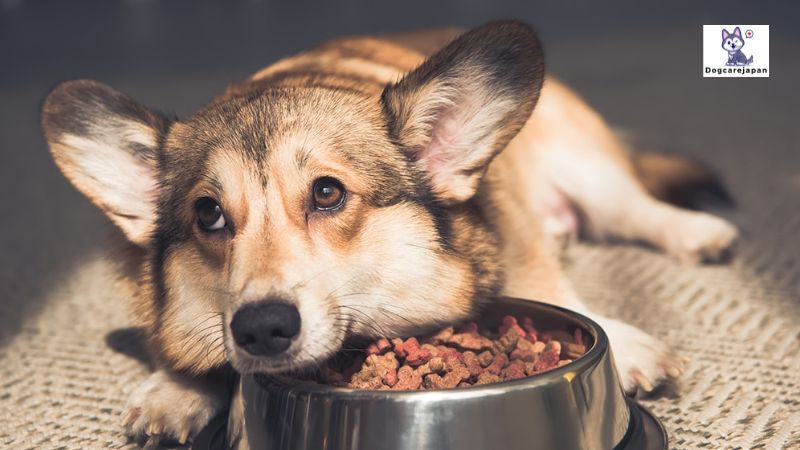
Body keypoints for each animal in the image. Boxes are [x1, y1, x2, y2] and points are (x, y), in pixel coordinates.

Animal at [39, 20, 736, 442]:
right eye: (209, 214)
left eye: (327, 193)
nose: (261, 328)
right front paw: (175, 392)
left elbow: (550, 285)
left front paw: (628, 345)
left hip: (586, 166)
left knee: (635, 207)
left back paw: (699, 232)